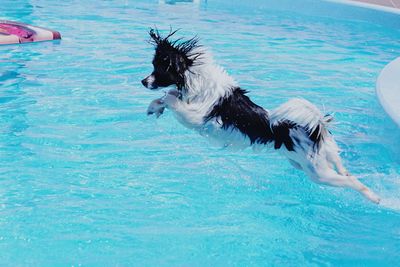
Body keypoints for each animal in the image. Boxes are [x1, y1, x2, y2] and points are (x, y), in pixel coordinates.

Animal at [141, 28, 382, 205]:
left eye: (159, 69)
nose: (143, 82)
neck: (196, 80)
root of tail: (315, 128)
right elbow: (168, 96)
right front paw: (154, 108)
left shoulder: (194, 117)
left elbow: (171, 97)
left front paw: (160, 104)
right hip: (308, 162)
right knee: (343, 168)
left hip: (318, 173)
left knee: (353, 182)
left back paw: (374, 197)